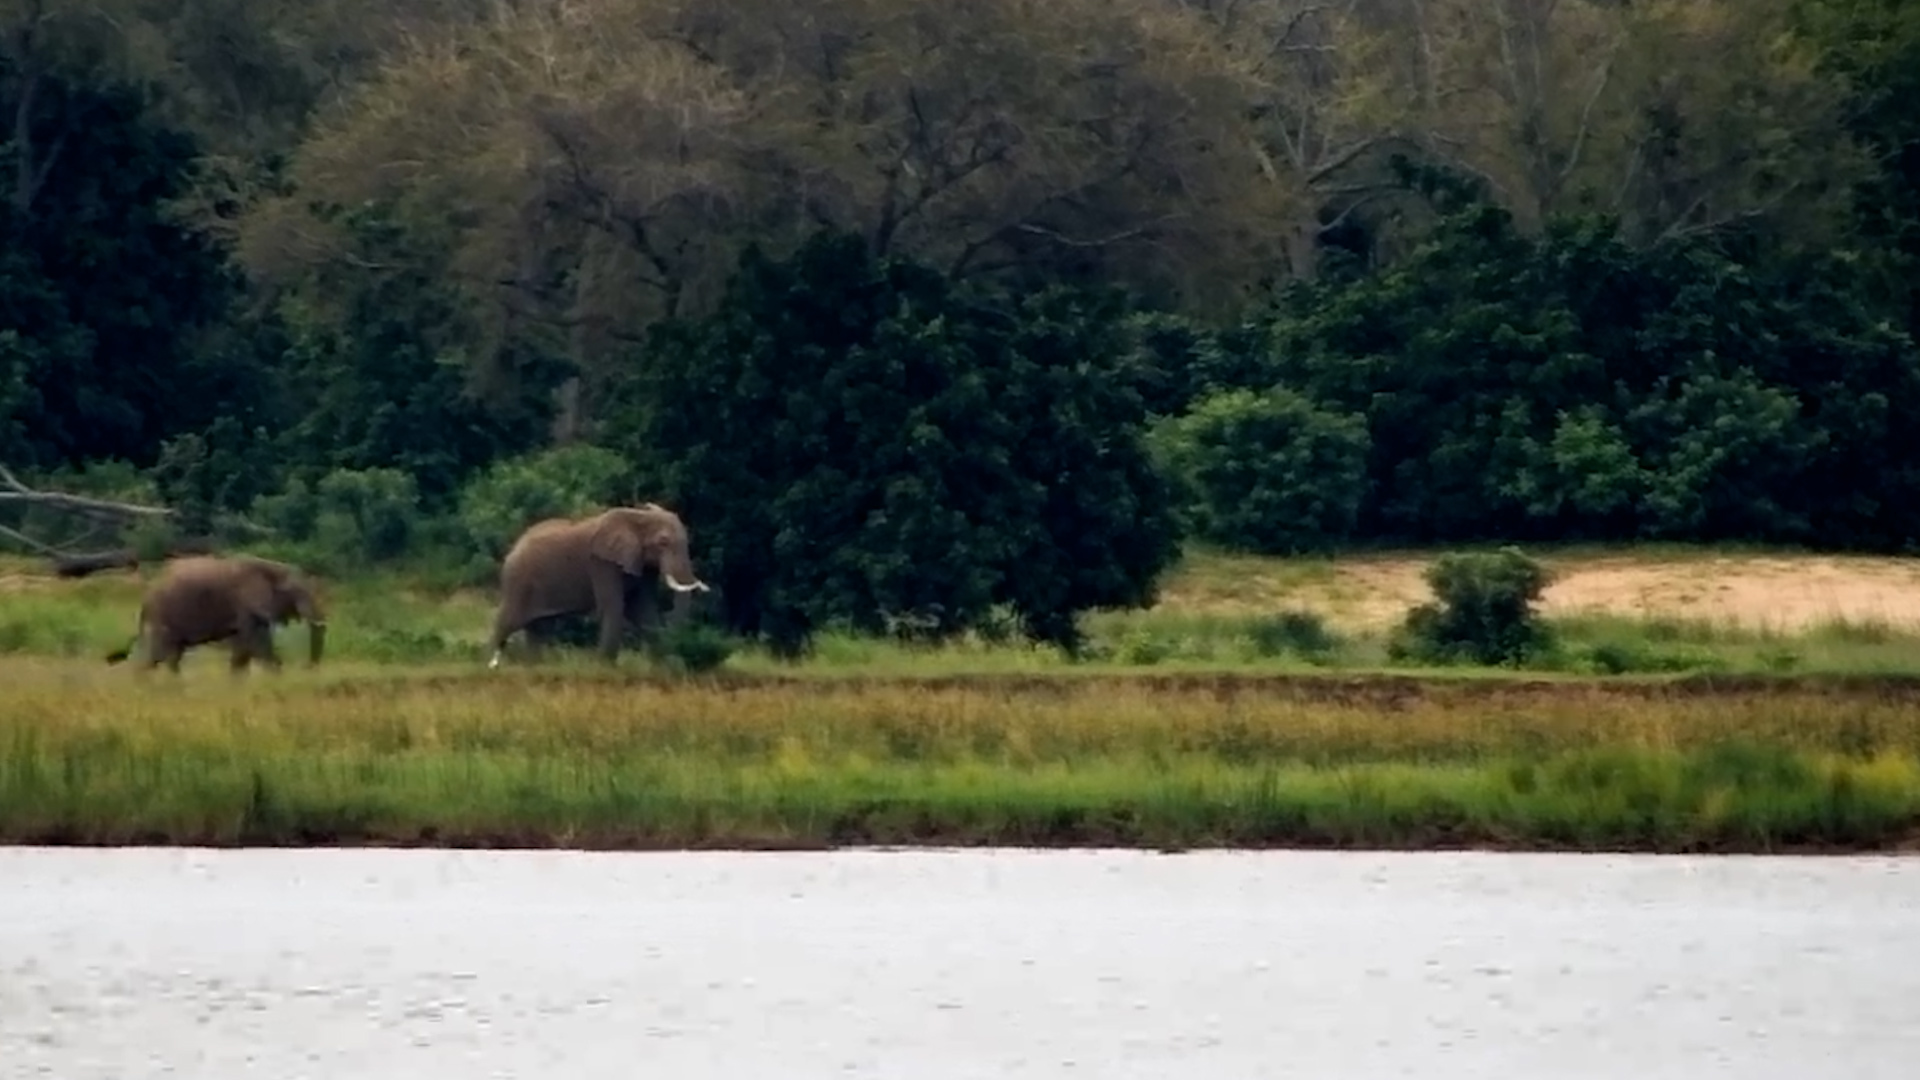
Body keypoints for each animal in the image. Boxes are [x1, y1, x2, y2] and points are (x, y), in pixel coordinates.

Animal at [104, 554, 328, 674]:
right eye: (297, 592)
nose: (308, 667)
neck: (272, 566)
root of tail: (146, 598)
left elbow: (245, 648)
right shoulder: (246, 606)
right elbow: (254, 645)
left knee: (171, 656)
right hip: (164, 615)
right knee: (159, 655)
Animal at [486, 504, 709, 668]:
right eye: (663, 543)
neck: (638, 516)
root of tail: (513, 547)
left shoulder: (641, 564)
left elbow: (644, 611)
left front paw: (662, 664)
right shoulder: (602, 563)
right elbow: (614, 607)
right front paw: (606, 667)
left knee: (540, 628)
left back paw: (534, 665)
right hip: (518, 580)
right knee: (508, 621)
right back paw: (490, 664)